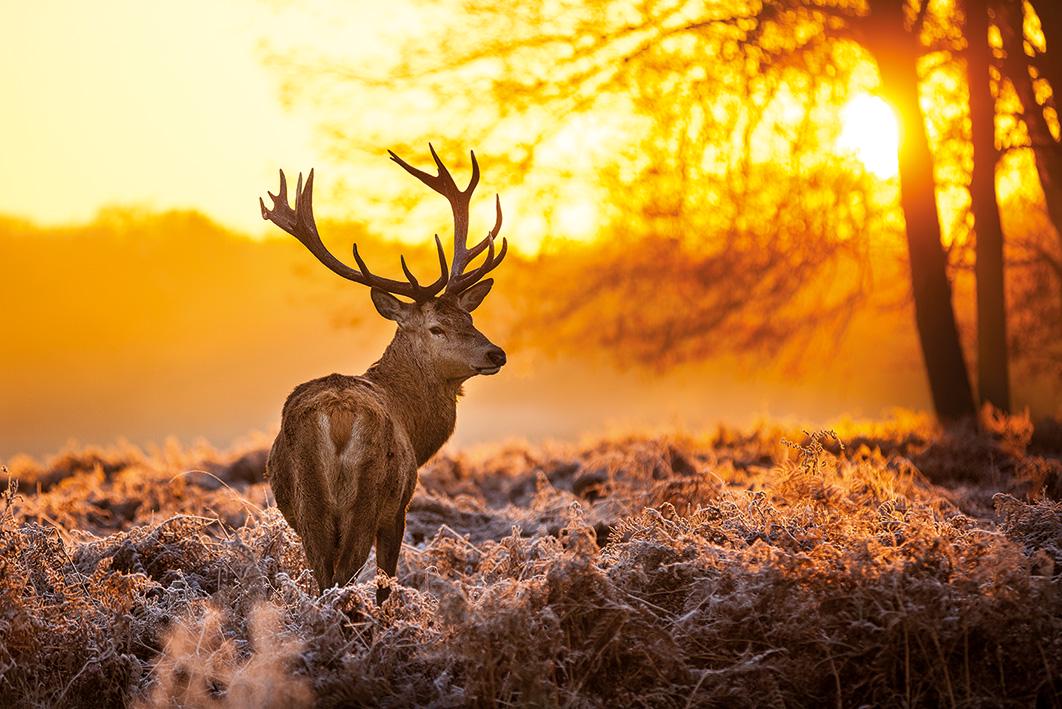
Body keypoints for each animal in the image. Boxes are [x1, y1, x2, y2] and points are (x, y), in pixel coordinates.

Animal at [258, 145, 507, 603]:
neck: (414, 425)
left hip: (308, 504)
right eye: (437, 327)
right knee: (344, 575)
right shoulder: (399, 507)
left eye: (469, 317)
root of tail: (337, 417)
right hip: (368, 497)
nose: (496, 353)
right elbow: (386, 582)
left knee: (323, 575)